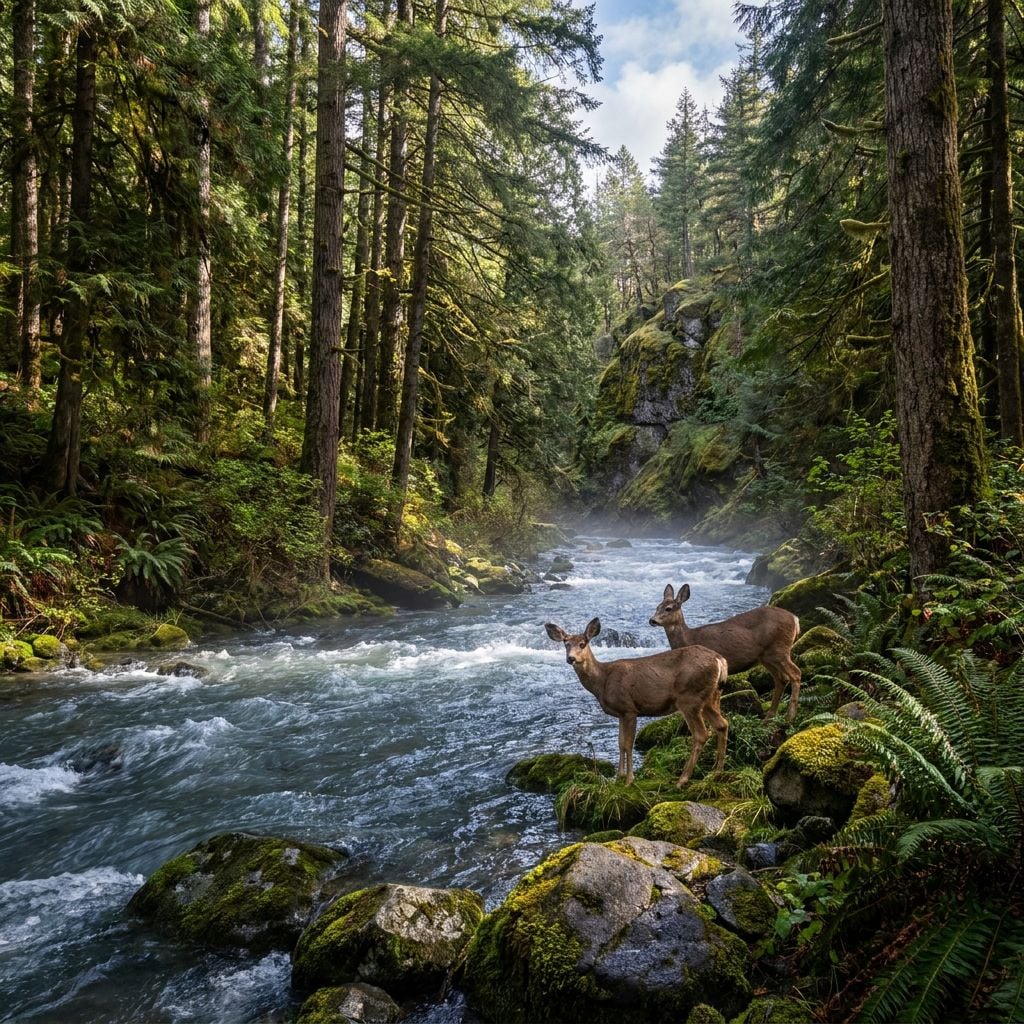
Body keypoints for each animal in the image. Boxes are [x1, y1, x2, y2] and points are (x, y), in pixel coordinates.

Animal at [544, 617, 729, 787]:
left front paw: (629, 780)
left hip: (689, 698)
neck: (603, 681)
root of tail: (720, 660)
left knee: (701, 734)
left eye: (582, 644)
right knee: (722, 724)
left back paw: (682, 779)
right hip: (710, 697)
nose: (571, 658)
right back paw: (716, 772)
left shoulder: (629, 709)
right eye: (566, 644)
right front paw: (618, 778)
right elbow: (619, 743)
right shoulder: (620, 713)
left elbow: (628, 745)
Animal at [649, 583, 801, 721]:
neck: (690, 639)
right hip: (767, 657)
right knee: (781, 679)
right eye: (657, 607)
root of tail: (795, 618)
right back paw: (769, 717)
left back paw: (790, 716)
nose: (652, 620)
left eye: (668, 608)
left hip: (779, 649)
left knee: (795, 673)